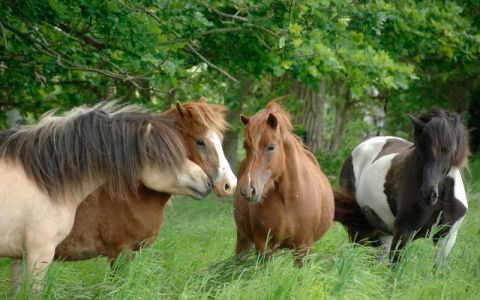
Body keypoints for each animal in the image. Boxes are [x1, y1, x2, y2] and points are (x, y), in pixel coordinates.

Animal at [233, 101, 334, 262]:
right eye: (246, 147)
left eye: (271, 147)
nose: (247, 189)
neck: (288, 200)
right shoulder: (264, 247)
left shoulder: (302, 248)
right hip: (243, 238)